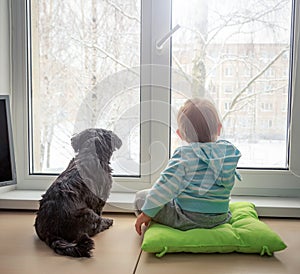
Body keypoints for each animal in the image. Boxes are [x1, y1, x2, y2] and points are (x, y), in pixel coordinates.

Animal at [33, 128, 120, 256]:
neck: (89, 154)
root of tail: (51, 232)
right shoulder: (99, 200)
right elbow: (100, 212)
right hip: (88, 213)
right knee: (96, 226)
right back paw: (107, 222)